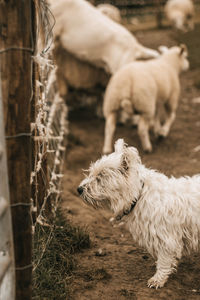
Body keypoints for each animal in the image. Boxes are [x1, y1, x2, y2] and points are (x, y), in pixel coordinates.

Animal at [77, 139, 200, 290]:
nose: (79, 189)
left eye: (100, 177)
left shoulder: (166, 239)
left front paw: (158, 279)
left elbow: (164, 261)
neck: (139, 195)